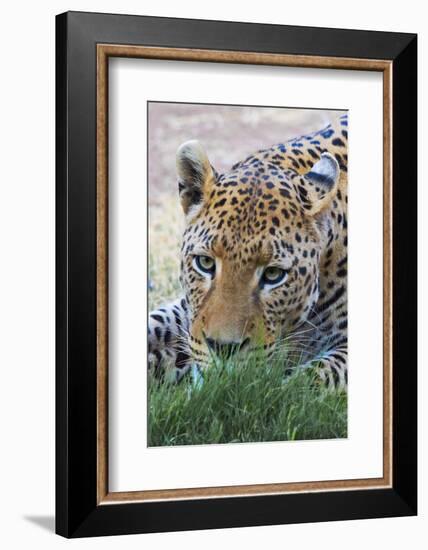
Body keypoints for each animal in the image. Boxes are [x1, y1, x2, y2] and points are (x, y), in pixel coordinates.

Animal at [147, 112, 348, 390]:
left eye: (274, 274)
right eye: (205, 263)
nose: (223, 348)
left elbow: (306, 382)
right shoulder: (187, 311)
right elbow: (155, 324)